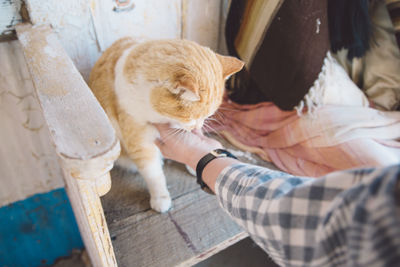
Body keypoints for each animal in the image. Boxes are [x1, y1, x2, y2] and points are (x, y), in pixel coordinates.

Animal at [88, 38, 242, 214]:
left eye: (207, 116)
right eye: (191, 118)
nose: (196, 127)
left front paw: (193, 164)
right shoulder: (140, 142)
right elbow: (154, 175)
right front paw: (160, 198)